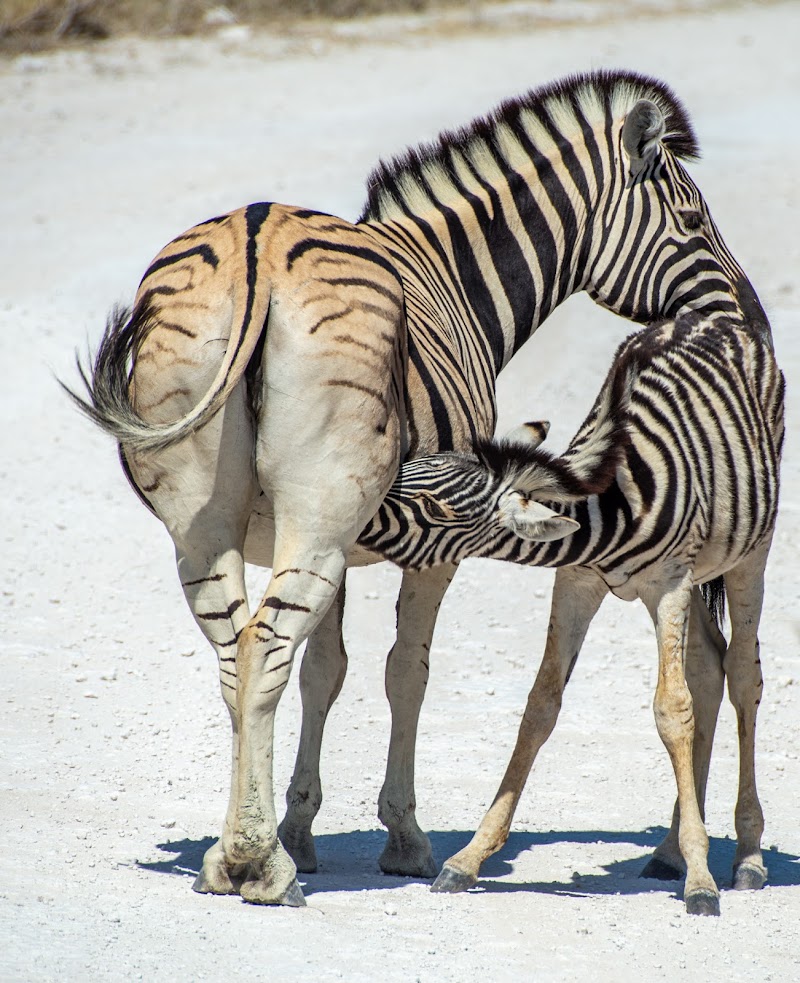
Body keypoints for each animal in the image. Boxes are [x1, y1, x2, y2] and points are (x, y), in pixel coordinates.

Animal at [69, 69, 768, 908]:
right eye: (693, 219)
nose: (752, 316)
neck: (451, 279)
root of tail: (257, 240)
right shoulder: (434, 543)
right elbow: (406, 671)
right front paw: (401, 837)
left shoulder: (334, 537)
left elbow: (324, 671)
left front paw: (300, 827)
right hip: (312, 510)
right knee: (264, 646)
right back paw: (257, 862)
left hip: (211, 523)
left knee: (240, 651)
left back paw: (230, 855)